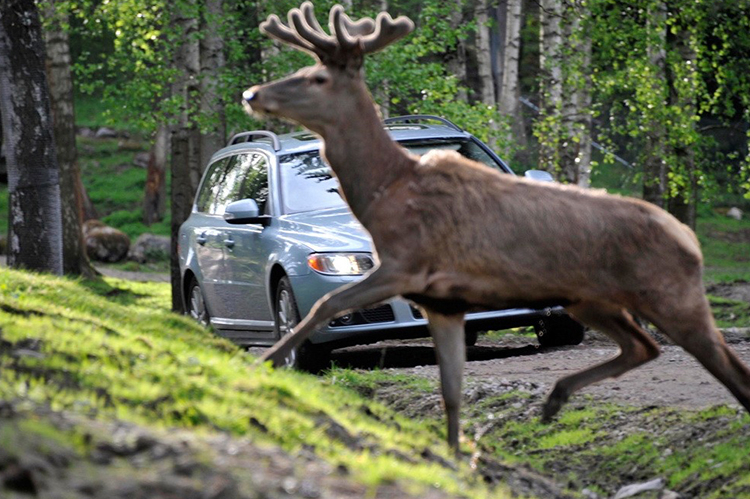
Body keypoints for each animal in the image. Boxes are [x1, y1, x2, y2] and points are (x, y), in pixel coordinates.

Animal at [247, 0, 750, 454]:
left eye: (316, 77)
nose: (253, 94)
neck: (384, 192)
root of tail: (690, 240)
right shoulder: (442, 302)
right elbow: (450, 393)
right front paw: (456, 456)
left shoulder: (406, 264)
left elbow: (325, 304)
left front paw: (266, 362)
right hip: (591, 300)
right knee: (645, 347)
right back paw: (555, 399)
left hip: (670, 293)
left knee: (728, 369)